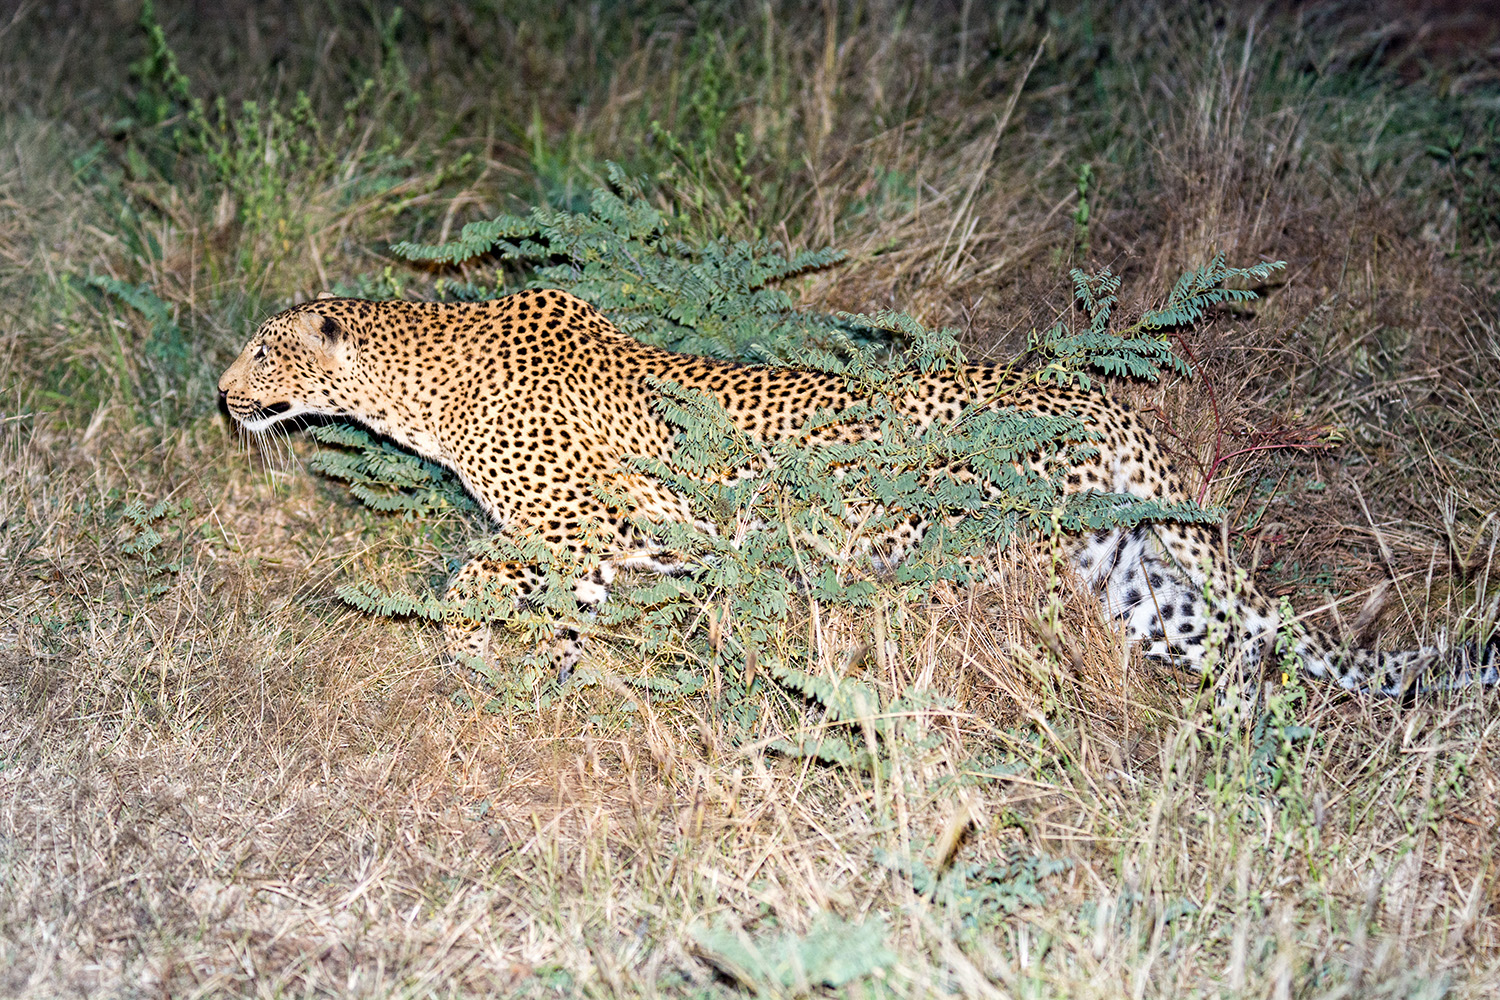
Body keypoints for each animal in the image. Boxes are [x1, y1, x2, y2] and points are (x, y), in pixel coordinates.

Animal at [218, 288, 1499, 697]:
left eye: (263, 350)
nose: (222, 395)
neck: (421, 387)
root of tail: (1112, 408)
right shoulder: (604, 542)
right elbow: (549, 602)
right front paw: (533, 674)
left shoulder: (594, 514)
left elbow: (481, 566)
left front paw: (473, 652)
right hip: (1133, 572)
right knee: (1238, 646)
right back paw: (1225, 750)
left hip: (1003, 566)